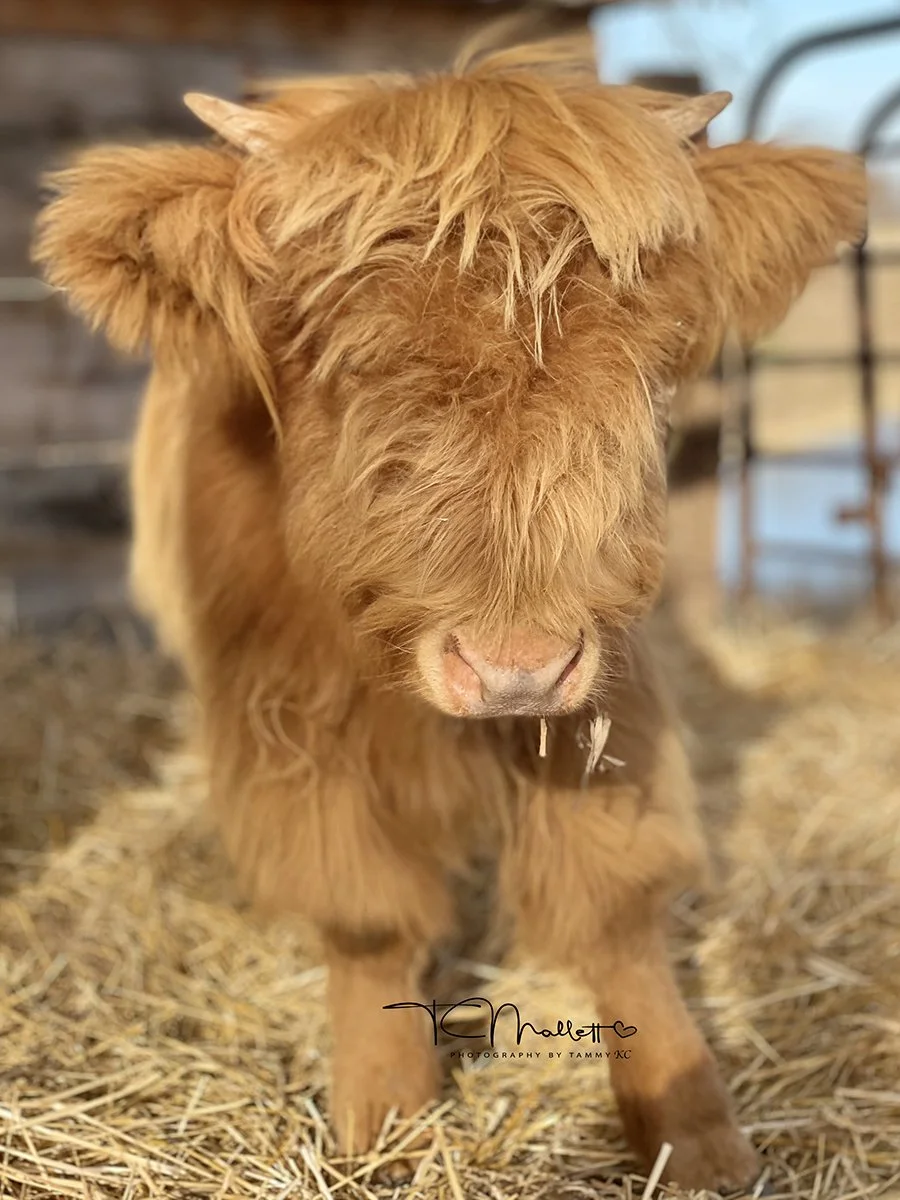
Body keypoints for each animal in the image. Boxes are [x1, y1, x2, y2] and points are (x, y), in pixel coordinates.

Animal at [33, 34, 866, 1192]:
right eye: (331, 351)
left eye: (645, 351)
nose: (513, 666)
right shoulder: (286, 714)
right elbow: (366, 918)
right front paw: (383, 1113)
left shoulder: (601, 695)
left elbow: (617, 908)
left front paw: (694, 1126)